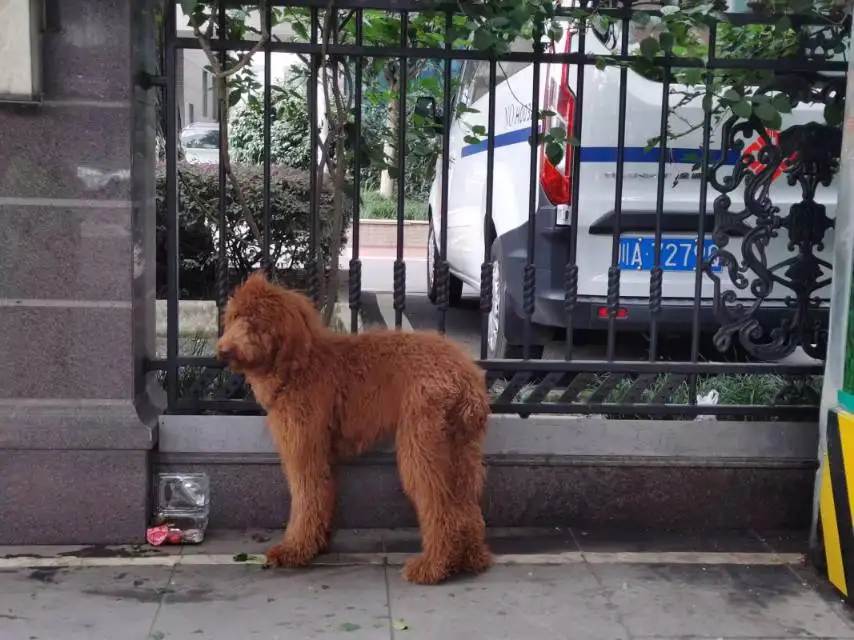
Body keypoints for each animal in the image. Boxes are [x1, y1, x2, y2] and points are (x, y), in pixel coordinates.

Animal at [217, 272, 492, 584]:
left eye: (254, 322)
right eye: (234, 317)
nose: (223, 351)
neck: (300, 363)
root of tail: (465, 373)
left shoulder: (304, 447)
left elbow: (306, 494)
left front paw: (294, 549)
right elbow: (322, 494)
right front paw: (317, 542)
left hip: (423, 441)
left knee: (439, 503)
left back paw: (434, 565)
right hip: (461, 444)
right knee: (465, 502)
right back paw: (471, 557)